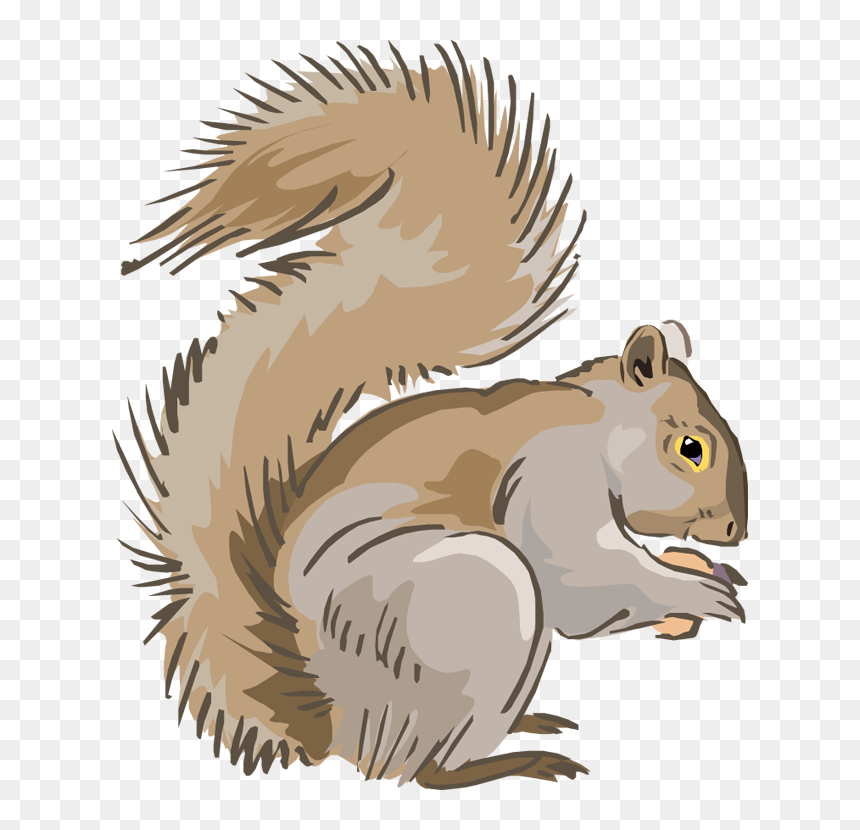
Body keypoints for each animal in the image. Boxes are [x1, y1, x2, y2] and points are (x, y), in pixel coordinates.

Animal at [116, 42, 749, 789]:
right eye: (690, 449)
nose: (735, 531)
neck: (594, 426)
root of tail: (332, 722)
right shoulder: (551, 477)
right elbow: (583, 581)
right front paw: (697, 593)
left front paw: (703, 571)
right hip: (479, 596)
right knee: (424, 771)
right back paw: (513, 761)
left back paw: (530, 724)